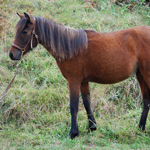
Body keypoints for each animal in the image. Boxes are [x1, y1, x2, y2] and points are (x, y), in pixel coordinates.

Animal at [8, 12, 149, 139]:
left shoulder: (73, 81)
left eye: (25, 32)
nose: (12, 54)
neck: (70, 47)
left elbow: (74, 106)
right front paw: (92, 127)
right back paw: (140, 128)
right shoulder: (83, 81)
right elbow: (87, 102)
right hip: (140, 75)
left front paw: (73, 133)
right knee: (146, 101)